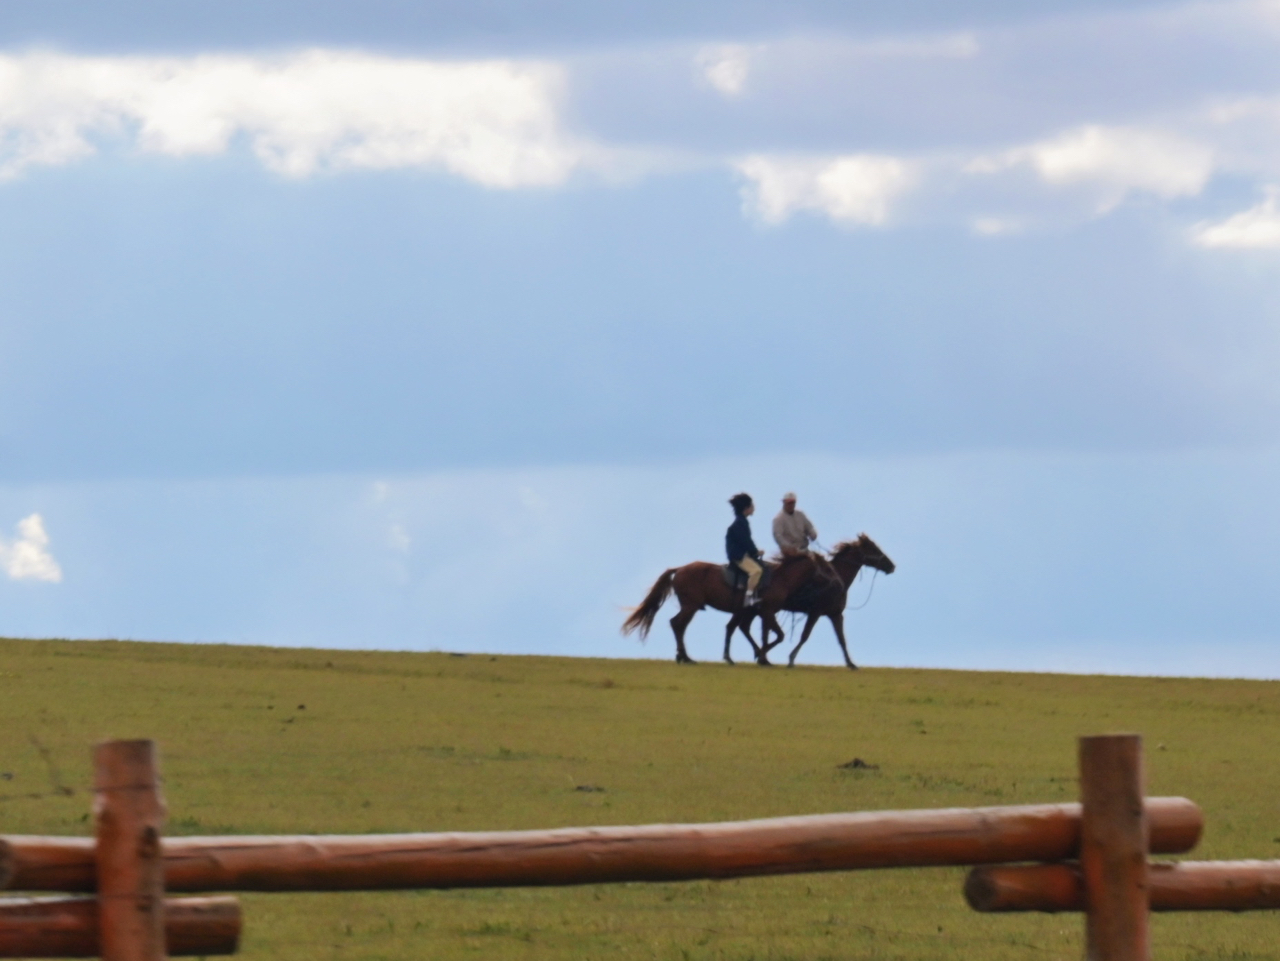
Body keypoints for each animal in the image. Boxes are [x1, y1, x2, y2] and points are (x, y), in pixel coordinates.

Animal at [619, 552, 819, 665]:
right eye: (822, 566)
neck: (781, 578)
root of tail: (680, 569)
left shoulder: (754, 612)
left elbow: (745, 631)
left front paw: (756, 656)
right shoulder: (767, 612)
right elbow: (776, 635)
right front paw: (762, 656)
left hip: (691, 606)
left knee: (679, 625)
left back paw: (684, 656)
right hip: (691, 606)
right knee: (677, 624)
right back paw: (685, 657)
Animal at [747, 534, 896, 670]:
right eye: (873, 549)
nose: (891, 566)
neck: (838, 580)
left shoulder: (836, 615)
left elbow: (842, 639)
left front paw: (851, 663)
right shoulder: (815, 613)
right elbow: (805, 636)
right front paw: (791, 658)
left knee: (761, 631)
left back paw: (763, 657)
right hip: (765, 610)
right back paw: (762, 656)